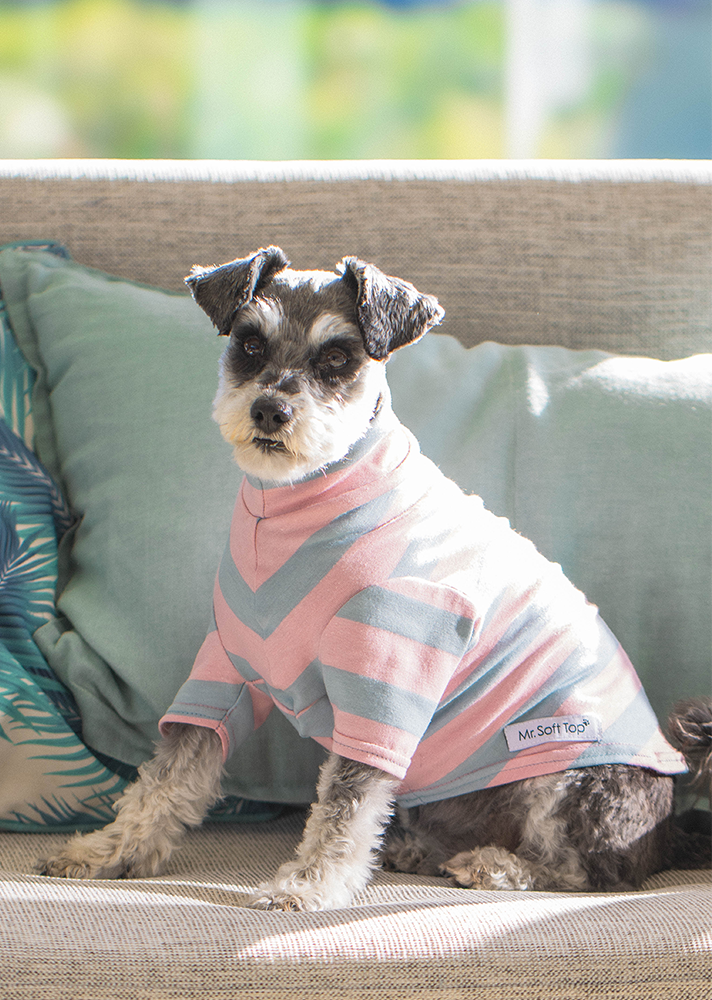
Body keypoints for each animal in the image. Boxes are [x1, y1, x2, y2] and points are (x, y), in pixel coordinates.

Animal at [39, 246, 712, 912]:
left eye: (338, 357)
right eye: (251, 344)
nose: (270, 409)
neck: (293, 510)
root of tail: (671, 830)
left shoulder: (385, 679)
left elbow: (346, 802)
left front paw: (308, 885)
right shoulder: (225, 664)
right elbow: (170, 773)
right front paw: (108, 850)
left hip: (568, 777)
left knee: (591, 870)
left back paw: (495, 866)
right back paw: (415, 850)